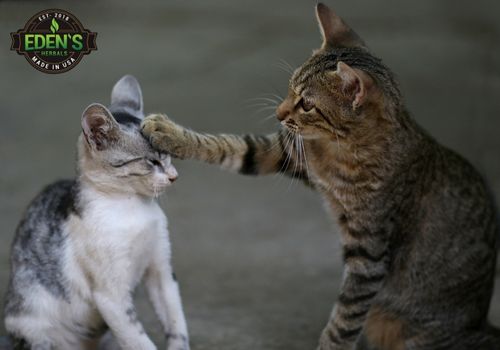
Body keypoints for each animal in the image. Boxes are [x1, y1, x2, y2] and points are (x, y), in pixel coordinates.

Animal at [3, 75, 188, 348]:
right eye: (152, 161)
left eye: (168, 157)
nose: (174, 176)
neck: (133, 208)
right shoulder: (110, 295)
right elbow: (138, 339)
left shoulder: (162, 271)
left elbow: (176, 322)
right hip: (34, 326)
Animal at [142, 2, 500, 350]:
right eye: (290, 89)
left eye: (307, 104)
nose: (278, 114)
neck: (339, 151)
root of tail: (480, 322)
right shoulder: (288, 153)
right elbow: (228, 146)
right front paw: (170, 134)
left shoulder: (369, 253)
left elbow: (344, 320)